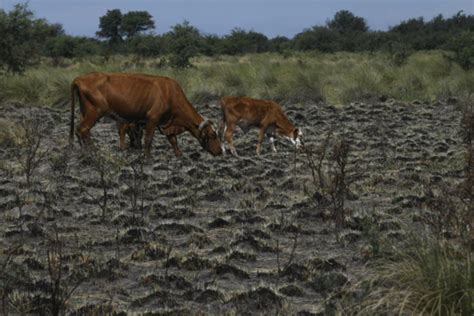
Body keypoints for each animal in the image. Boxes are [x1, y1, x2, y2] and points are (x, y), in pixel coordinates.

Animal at [70, 73, 222, 158]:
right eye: (212, 135)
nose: (220, 151)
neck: (170, 93)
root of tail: (79, 78)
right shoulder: (152, 119)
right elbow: (148, 139)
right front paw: (147, 157)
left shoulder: (165, 123)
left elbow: (173, 140)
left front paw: (179, 154)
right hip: (95, 111)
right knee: (83, 129)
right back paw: (93, 151)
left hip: (84, 111)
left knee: (78, 129)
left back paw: (83, 150)